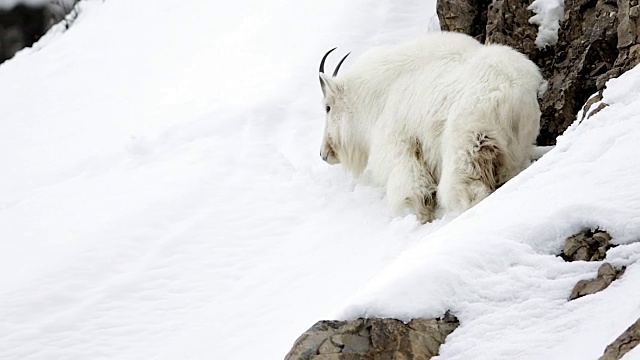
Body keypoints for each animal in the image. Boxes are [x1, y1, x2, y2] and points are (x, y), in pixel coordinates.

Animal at [318, 31, 544, 222]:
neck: (379, 95)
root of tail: (514, 98)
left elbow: (412, 185)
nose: (324, 153)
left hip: (469, 143)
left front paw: (423, 218)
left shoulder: (400, 146)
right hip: (514, 153)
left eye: (328, 107)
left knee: (469, 190)